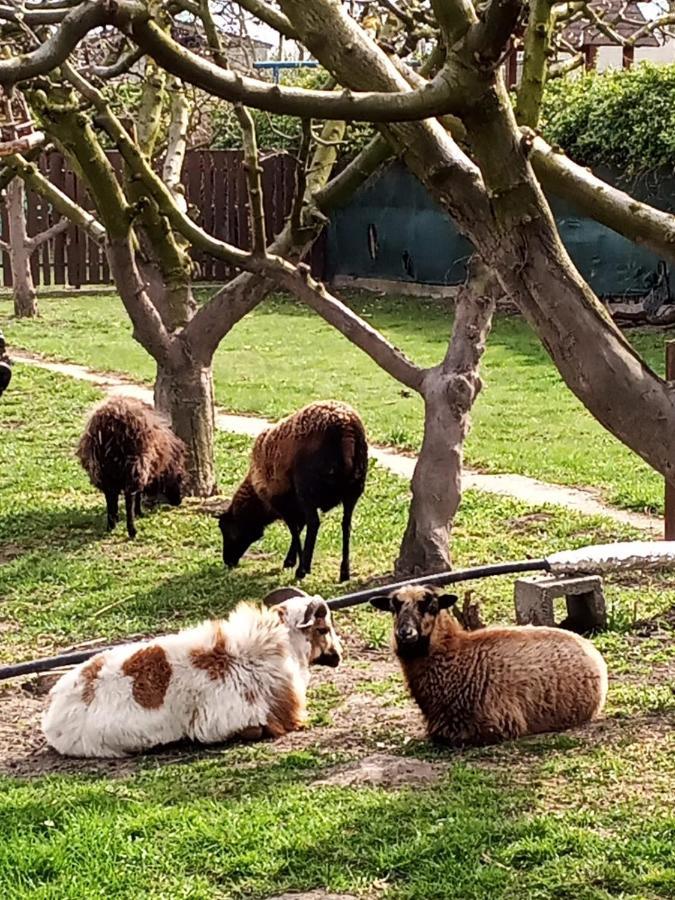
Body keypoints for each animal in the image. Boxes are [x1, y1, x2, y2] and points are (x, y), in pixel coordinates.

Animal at [77, 398, 187, 536]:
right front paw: (139, 513)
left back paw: (111, 525)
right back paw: (132, 530)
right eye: (180, 477)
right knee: (129, 497)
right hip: (134, 465)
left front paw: (117, 518)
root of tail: (110, 422)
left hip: (103, 468)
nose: (179, 501)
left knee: (110, 495)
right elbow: (138, 494)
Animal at [219, 400, 368, 584]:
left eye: (226, 530)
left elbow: (294, 530)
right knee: (346, 525)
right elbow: (298, 528)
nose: (228, 561)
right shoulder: (295, 507)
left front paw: (297, 562)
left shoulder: (283, 502)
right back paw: (344, 572)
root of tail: (346, 429)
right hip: (354, 489)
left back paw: (302, 570)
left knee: (314, 523)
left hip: (307, 488)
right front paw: (292, 559)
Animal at [372, 584, 608, 744]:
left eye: (431, 605)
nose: (405, 633)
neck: (455, 654)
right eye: (393, 607)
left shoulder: (491, 725)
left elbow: (440, 736)